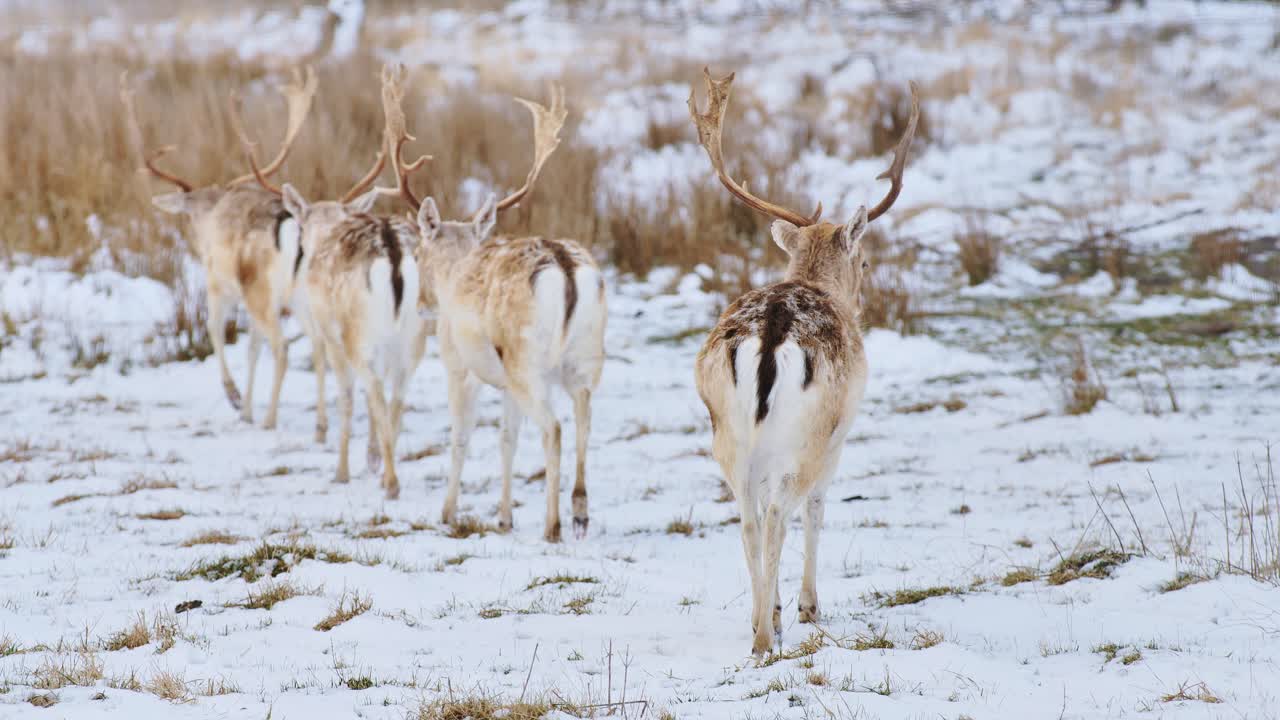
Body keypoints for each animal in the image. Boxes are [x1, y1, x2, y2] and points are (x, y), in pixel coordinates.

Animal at [121, 67, 318, 430]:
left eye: (187, 215)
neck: (211, 211)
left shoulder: (217, 282)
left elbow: (214, 330)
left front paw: (235, 396)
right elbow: (252, 348)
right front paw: (245, 409)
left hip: (261, 291)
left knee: (282, 346)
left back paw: (270, 419)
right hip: (302, 295)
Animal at [253, 65, 431, 500]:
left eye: (302, 226)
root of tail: (395, 254)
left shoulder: (328, 333)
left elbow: (348, 397)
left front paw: (344, 470)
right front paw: (370, 459)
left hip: (358, 333)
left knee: (376, 392)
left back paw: (391, 482)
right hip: (415, 334)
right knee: (397, 394)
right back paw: (387, 470)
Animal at [393, 74, 605, 542]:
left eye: (417, 252)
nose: (421, 306)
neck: (453, 274)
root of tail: (565, 268)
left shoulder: (459, 365)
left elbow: (461, 437)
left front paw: (448, 512)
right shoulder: (505, 383)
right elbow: (507, 439)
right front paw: (504, 517)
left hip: (527, 360)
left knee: (554, 428)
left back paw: (552, 525)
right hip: (585, 356)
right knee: (584, 416)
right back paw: (580, 512)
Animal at [688, 68, 919, 658]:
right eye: (865, 260)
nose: (864, 290)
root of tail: (770, 337)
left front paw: (774, 609)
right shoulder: (839, 435)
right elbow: (818, 509)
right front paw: (808, 608)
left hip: (726, 436)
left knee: (748, 519)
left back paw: (758, 626)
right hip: (808, 435)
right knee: (779, 515)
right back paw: (766, 637)